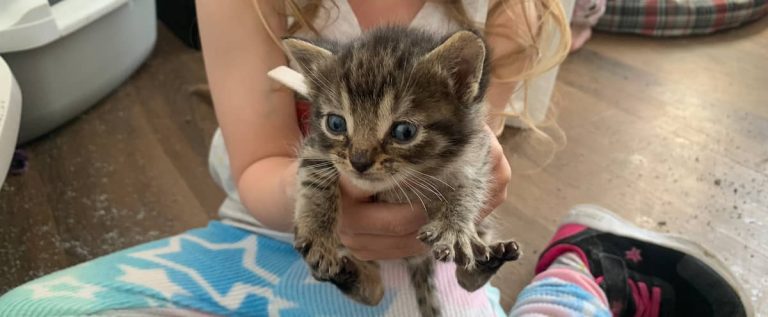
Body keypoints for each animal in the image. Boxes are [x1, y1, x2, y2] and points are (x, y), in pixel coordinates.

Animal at [284, 25, 520, 314]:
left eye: (404, 132)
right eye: (336, 124)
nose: (359, 161)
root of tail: (417, 259)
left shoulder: (477, 152)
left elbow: (471, 185)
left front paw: (454, 225)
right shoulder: (316, 146)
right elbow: (315, 177)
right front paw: (318, 232)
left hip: (482, 228)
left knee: (465, 279)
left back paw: (486, 263)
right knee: (375, 294)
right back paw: (345, 274)